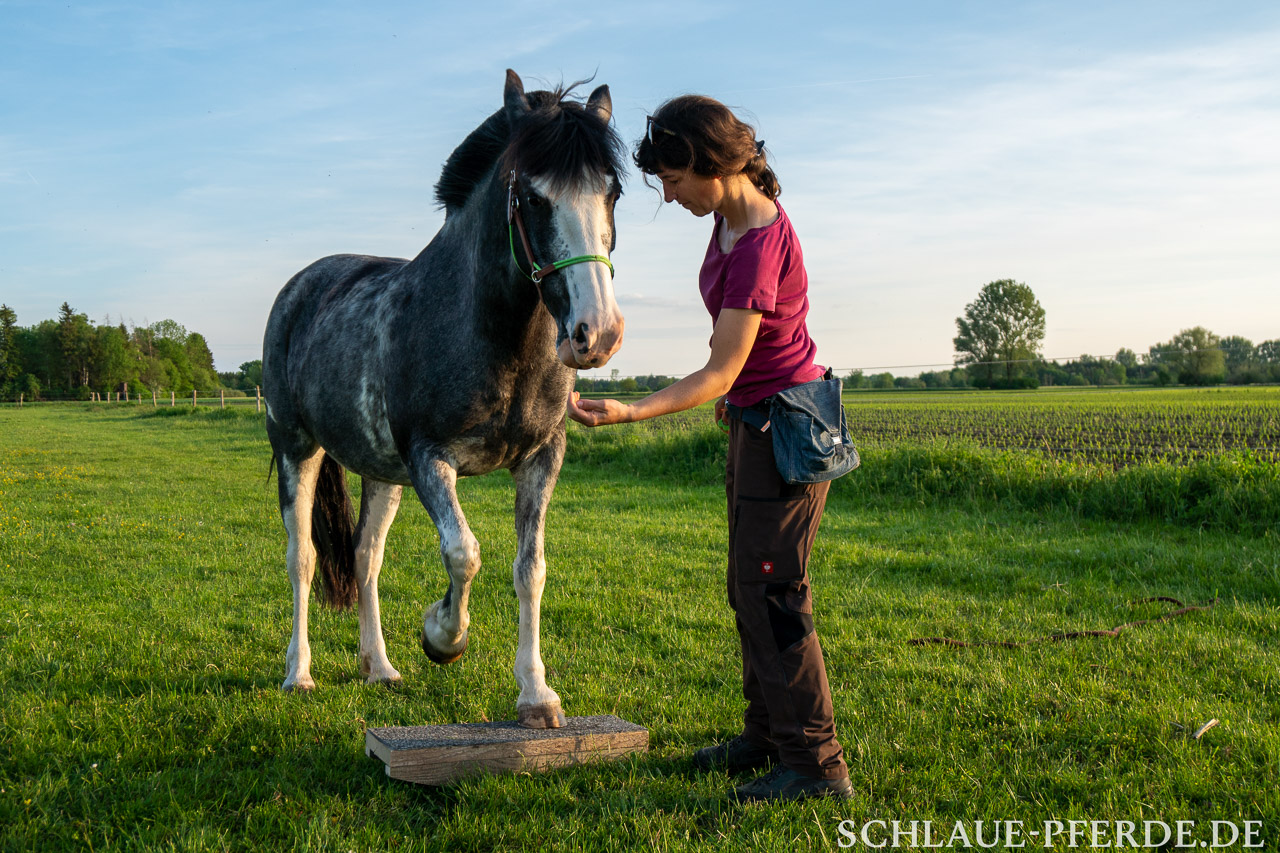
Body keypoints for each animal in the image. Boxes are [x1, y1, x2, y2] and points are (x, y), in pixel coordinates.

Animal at [261, 70, 626, 729]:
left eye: (611, 193)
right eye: (532, 197)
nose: (597, 333)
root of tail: (301, 286)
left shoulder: (540, 459)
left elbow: (529, 569)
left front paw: (536, 694)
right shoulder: (432, 458)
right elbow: (464, 554)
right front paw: (441, 636)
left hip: (383, 474)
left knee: (364, 558)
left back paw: (379, 668)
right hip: (297, 449)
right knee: (301, 557)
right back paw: (298, 674)